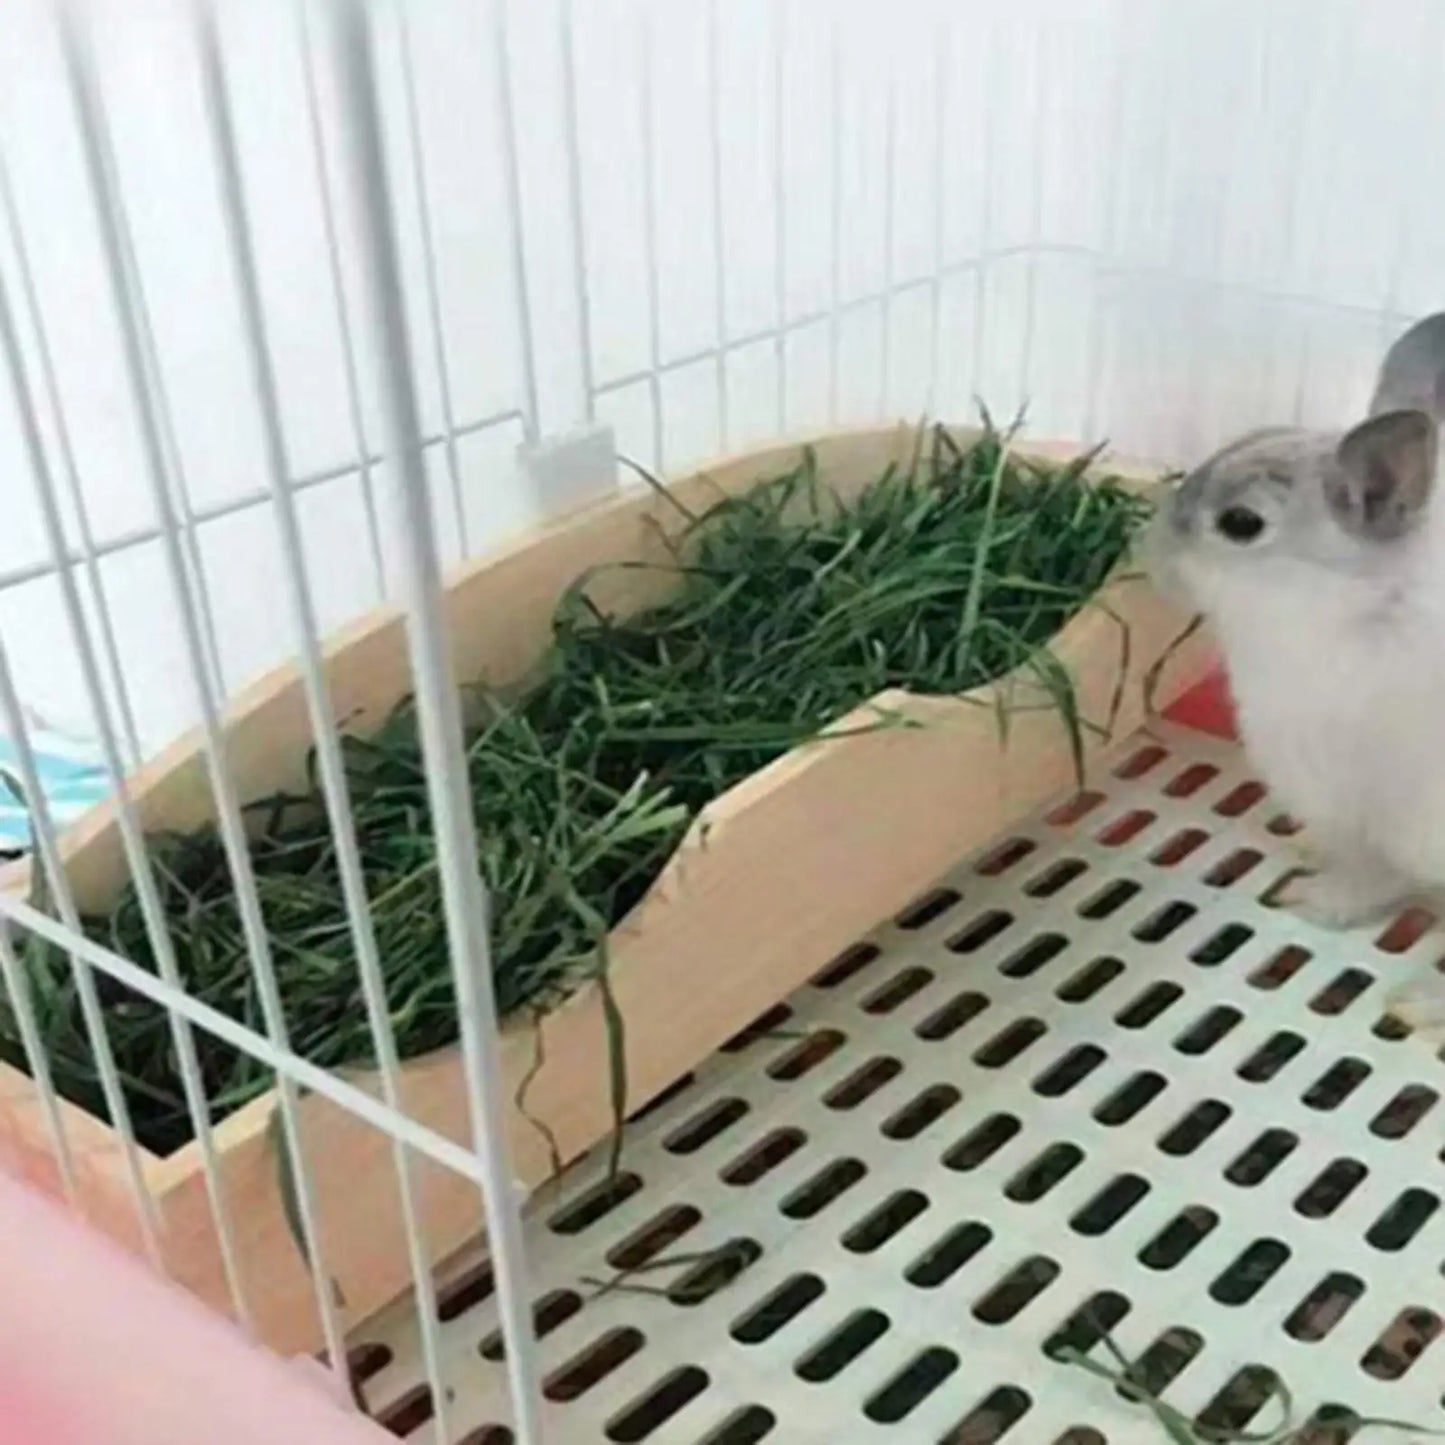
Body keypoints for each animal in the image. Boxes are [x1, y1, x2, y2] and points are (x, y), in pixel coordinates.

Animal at [1146, 314, 1445, 1025]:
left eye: (1241, 523)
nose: (1150, 552)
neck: (1361, 608)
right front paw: (1307, 867)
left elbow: (1371, 882)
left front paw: (1305, 899)